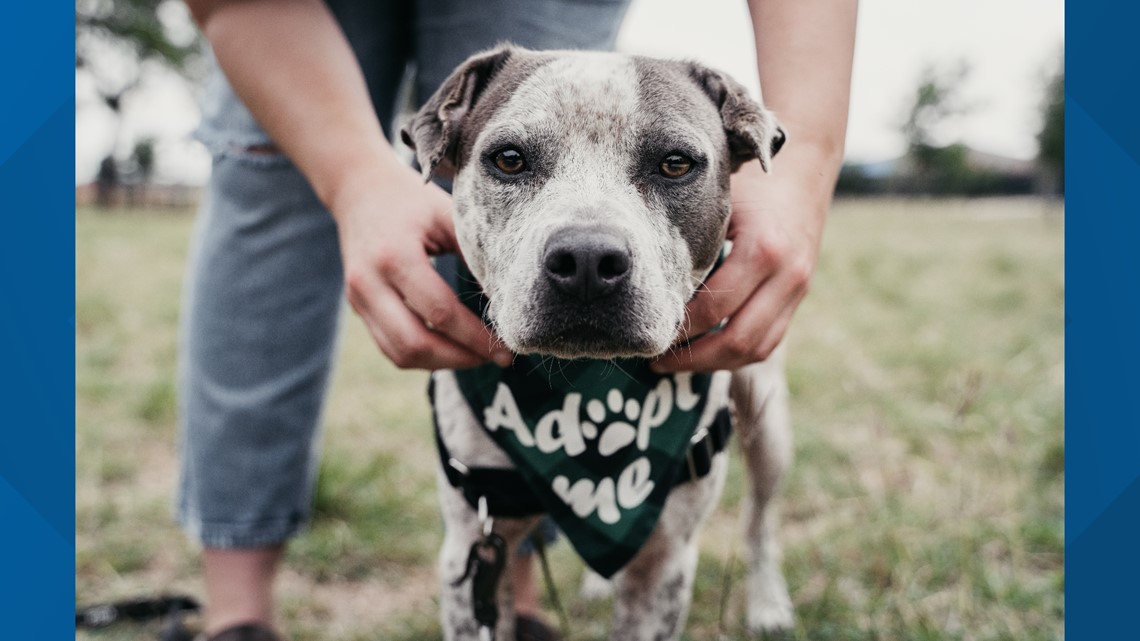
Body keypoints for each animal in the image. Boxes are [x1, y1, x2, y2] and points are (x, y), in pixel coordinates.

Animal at [405, 46, 798, 638]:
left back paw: (769, 601)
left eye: (675, 163)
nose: (587, 260)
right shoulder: (473, 554)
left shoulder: (665, 564)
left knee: (760, 521)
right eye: (510, 159)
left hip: (769, 426)